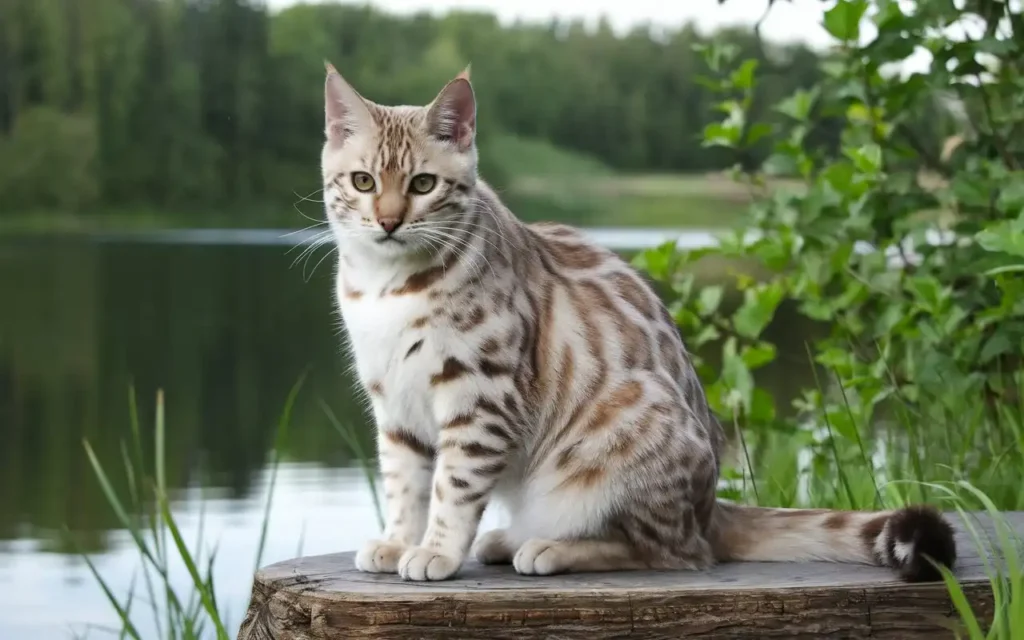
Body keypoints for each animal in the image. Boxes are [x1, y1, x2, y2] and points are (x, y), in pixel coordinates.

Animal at [321, 62, 958, 581]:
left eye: (423, 184)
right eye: (364, 182)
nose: (388, 222)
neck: (387, 286)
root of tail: (712, 509)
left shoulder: (480, 395)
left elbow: (453, 487)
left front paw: (435, 551)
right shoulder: (394, 402)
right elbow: (405, 485)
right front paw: (398, 541)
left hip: (619, 433)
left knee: (674, 553)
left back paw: (551, 547)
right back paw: (510, 538)